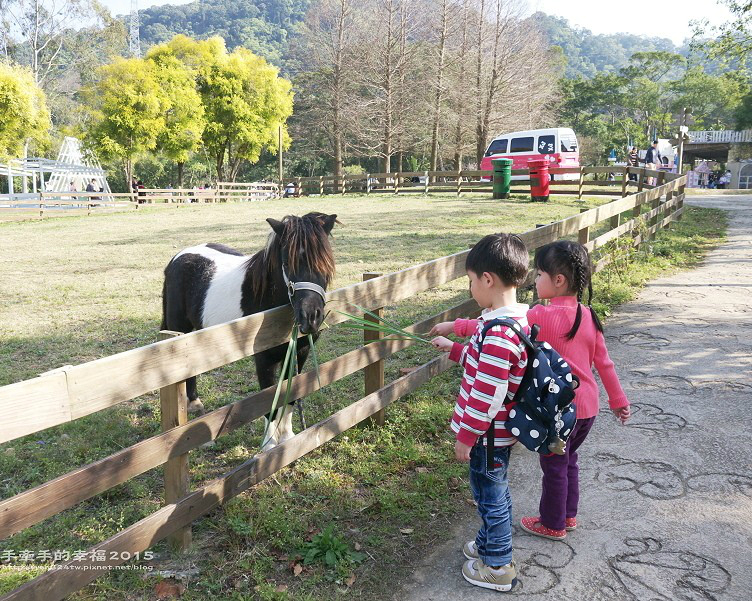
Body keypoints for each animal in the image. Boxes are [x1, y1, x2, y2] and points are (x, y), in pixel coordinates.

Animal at [163, 213, 336, 448]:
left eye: (325, 262)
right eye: (286, 263)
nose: (310, 317)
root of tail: (178, 257)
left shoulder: (299, 353)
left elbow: (290, 395)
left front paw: (288, 438)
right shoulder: (264, 359)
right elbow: (268, 402)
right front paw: (269, 446)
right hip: (179, 331)